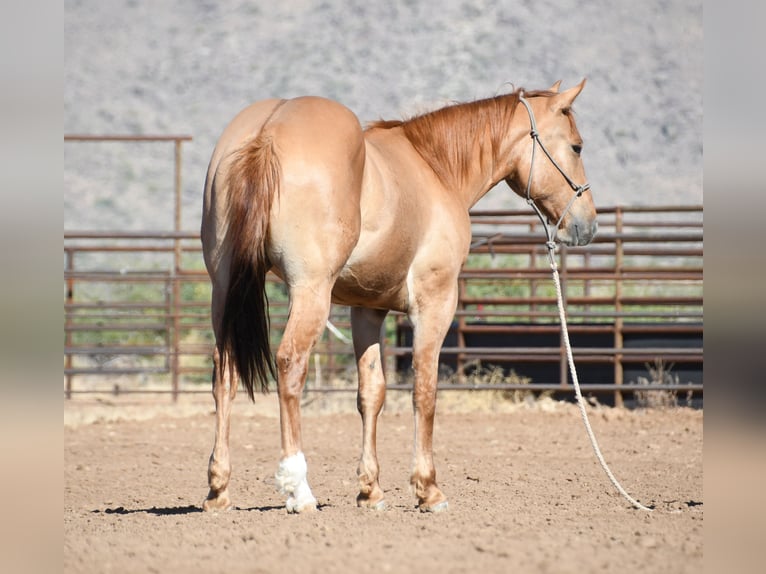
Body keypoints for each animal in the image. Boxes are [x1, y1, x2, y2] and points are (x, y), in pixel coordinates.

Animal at [200, 80, 597, 513]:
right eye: (577, 147)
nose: (587, 223)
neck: (435, 168)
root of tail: (267, 131)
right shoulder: (435, 303)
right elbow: (425, 391)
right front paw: (428, 489)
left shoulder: (367, 309)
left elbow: (371, 393)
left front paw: (370, 490)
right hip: (309, 291)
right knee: (290, 364)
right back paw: (298, 489)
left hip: (224, 289)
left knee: (224, 375)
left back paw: (218, 489)